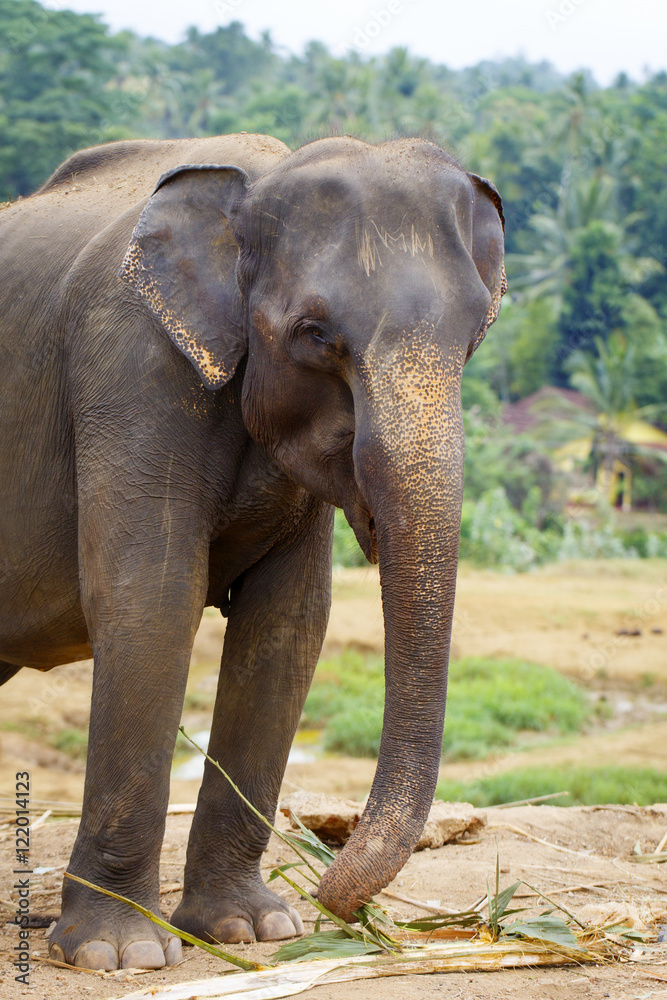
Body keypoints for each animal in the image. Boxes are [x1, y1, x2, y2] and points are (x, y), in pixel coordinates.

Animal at [0, 132, 505, 971]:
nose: (333, 898)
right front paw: (120, 954)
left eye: (472, 339)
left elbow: (286, 625)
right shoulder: (132, 369)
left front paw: (252, 931)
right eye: (315, 335)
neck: (258, 178)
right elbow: (152, 601)